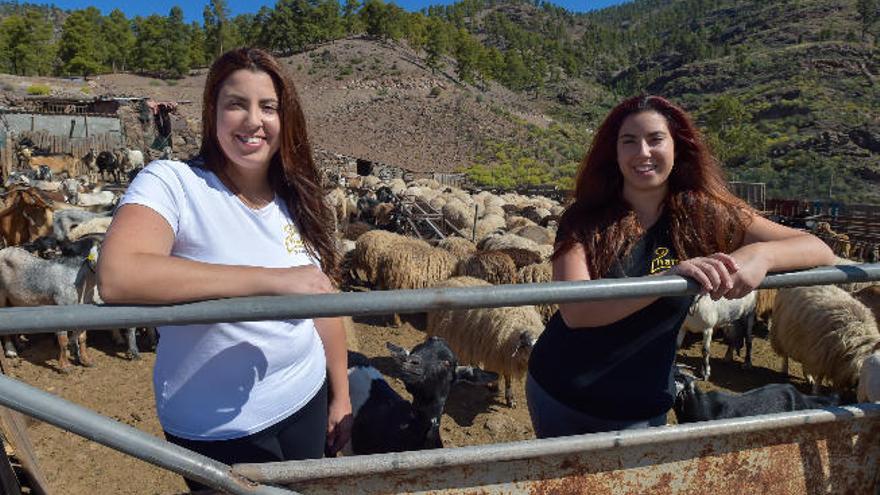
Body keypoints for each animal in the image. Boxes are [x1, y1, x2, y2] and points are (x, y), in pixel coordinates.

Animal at [426, 278, 544, 408]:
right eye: (528, 346)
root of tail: (450, 280)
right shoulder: (498, 355)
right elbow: (501, 374)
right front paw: (496, 387)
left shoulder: (505, 357)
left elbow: (508, 379)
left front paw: (510, 399)